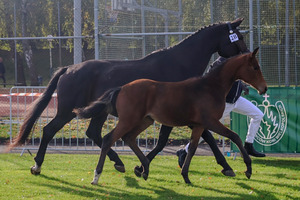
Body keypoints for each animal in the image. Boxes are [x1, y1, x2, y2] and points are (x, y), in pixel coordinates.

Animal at [8, 18, 248, 176]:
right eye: (238, 37)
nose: (249, 58)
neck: (180, 64)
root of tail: (68, 69)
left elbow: (180, 139)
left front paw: (141, 165)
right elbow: (197, 137)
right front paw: (227, 166)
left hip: (98, 111)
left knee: (93, 132)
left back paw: (118, 162)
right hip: (68, 110)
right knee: (49, 130)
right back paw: (37, 165)